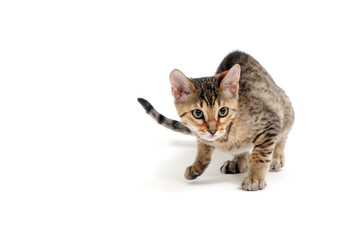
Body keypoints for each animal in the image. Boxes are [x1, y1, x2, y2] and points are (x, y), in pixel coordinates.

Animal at [136, 51, 294, 191]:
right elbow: (203, 147)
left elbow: (261, 155)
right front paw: (197, 166)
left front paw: (254, 177)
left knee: (283, 135)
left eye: (223, 111)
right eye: (198, 113)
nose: (213, 130)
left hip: (286, 108)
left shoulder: (270, 122)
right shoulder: (200, 133)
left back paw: (277, 157)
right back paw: (238, 161)